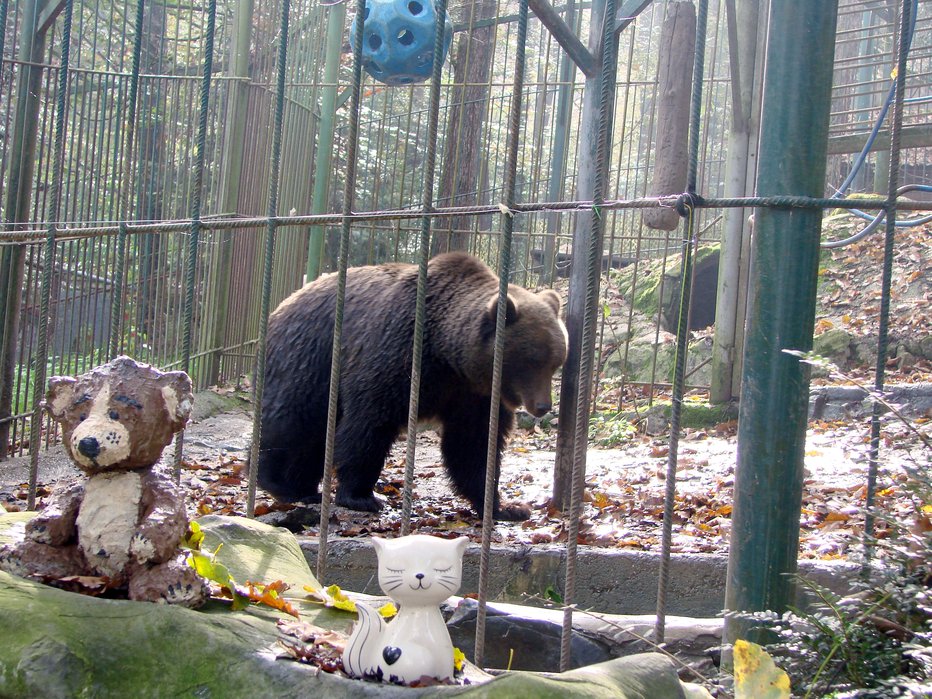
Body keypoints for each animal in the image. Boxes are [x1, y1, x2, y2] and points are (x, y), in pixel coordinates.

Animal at [260, 252, 568, 520]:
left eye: (556, 361)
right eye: (531, 360)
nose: (543, 405)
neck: (448, 356)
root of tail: (283, 302)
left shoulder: (473, 396)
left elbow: (473, 445)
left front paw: (505, 507)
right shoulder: (397, 353)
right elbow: (369, 422)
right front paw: (361, 496)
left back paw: (303, 487)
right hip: (309, 355)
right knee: (293, 419)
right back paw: (279, 483)